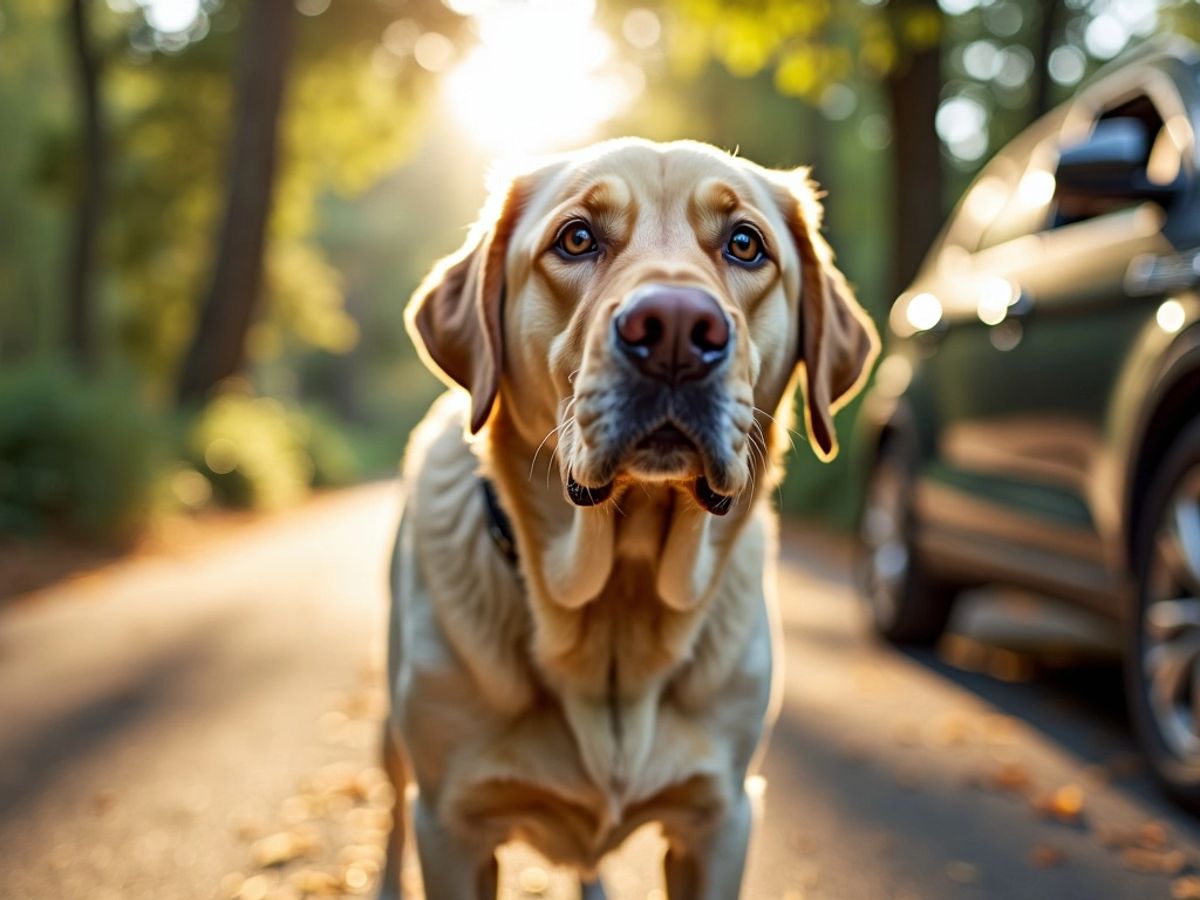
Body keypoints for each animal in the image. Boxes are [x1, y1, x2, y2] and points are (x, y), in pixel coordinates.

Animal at [379, 137, 878, 897]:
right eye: (577, 238)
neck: (620, 597)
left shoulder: (721, 820)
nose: (675, 330)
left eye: (745, 244)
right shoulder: (452, 828)